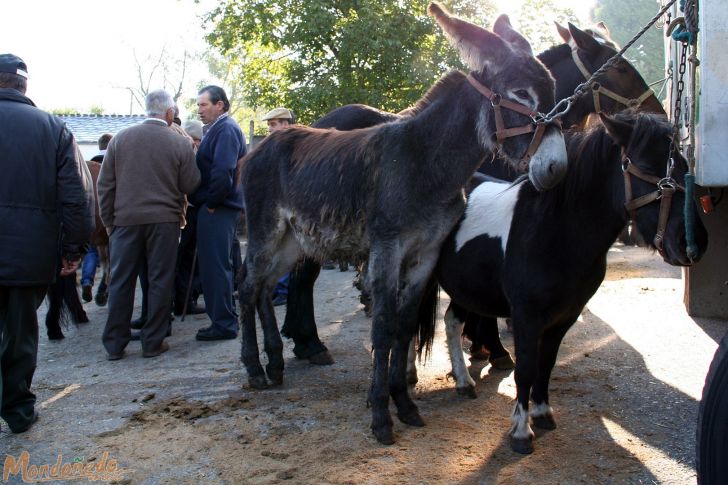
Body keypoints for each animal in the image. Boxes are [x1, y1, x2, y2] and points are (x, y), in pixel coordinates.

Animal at [239, 1, 568, 444]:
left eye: (553, 92)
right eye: (520, 94)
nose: (556, 168)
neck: (425, 160)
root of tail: (263, 143)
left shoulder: (426, 252)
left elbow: (406, 324)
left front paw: (405, 403)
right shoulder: (387, 248)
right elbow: (383, 326)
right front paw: (381, 415)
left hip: (292, 241)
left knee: (263, 288)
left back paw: (274, 363)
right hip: (265, 231)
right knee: (246, 287)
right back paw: (255, 369)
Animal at [282, 18, 664, 366]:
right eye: (623, 69)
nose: (657, 114)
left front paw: (479, 343)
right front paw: (491, 347)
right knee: (304, 276)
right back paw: (309, 342)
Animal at [418, 110, 708, 454]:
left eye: (684, 164)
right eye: (648, 167)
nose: (692, 241)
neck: (556, 231)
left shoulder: (564, 316)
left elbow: (546, 364)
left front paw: (543, 413)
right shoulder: (526, 317)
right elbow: (526, 370)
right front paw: (521, 432)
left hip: (468, 287)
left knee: (451, 321)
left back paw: (464, 381)